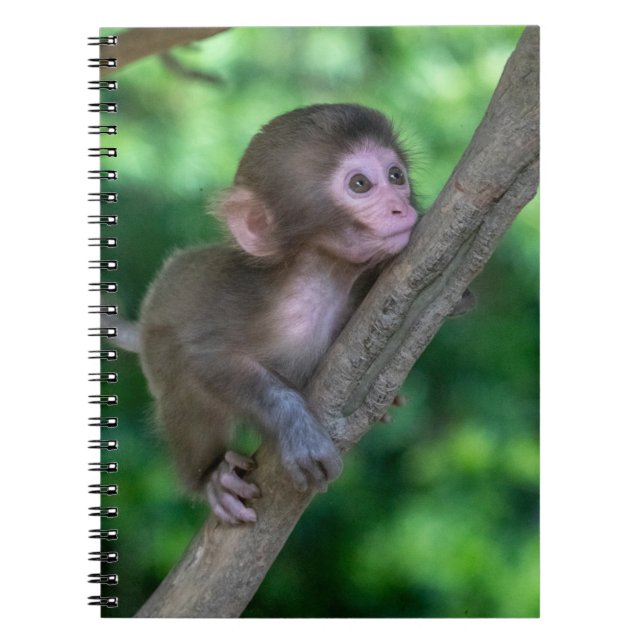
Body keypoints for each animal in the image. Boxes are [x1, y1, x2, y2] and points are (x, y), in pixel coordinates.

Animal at [136, 103, 419, 525]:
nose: (402, 207)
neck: (320, 283)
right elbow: (204, 357)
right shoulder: (240, 306)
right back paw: (211, 477)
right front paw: (294, 428)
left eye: (396, 175)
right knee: (180, 377)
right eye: (360, 185)